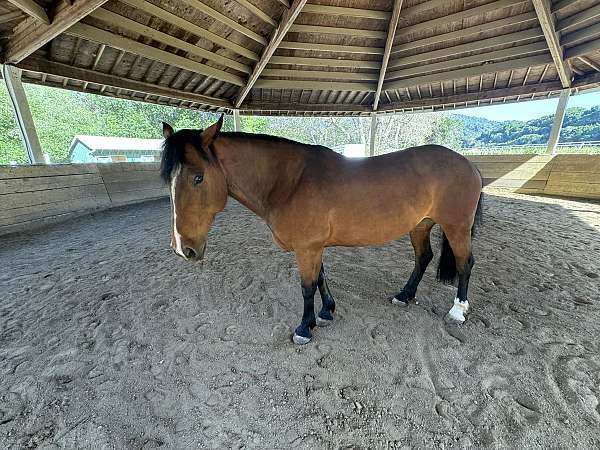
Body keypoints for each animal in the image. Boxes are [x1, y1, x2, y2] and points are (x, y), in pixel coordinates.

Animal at [159, 115, 482, 344]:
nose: (182, 248)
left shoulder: (307, 248)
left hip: (456, 227)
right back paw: (404, 295)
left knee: (465, 263)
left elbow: (306, 286)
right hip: (420, 225)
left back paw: (457, 311)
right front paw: (326, 312)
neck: (289, 181)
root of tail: (467, 163)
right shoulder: (314, 246)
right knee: (423, 258)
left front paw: (304, 327)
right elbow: (321, 279)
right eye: (167, 179)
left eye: (198, 177)